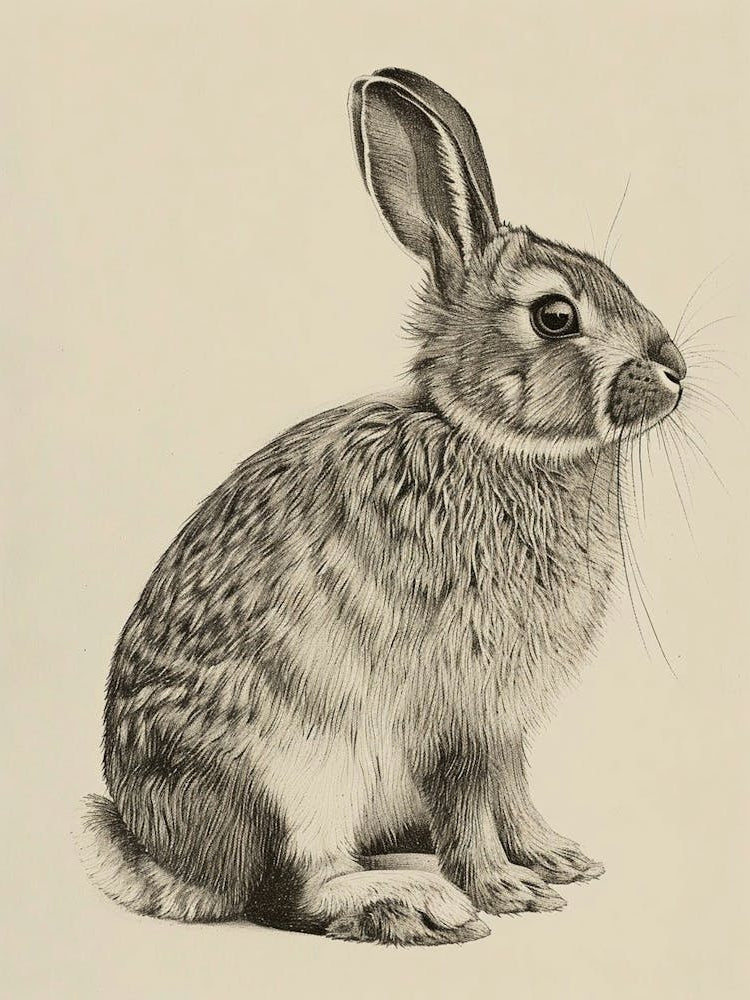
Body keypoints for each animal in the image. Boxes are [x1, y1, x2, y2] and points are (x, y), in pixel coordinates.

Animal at [80, 67, 687, 946]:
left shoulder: (505, 714)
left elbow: (512, 784)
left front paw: (556, 859)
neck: (490, 439)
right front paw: (507, 890)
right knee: (288, 888)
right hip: (286, 773)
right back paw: (416, 905)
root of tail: (162, 856)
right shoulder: (454, 701)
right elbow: (467, 797)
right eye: (555, 315)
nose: (675, 369)